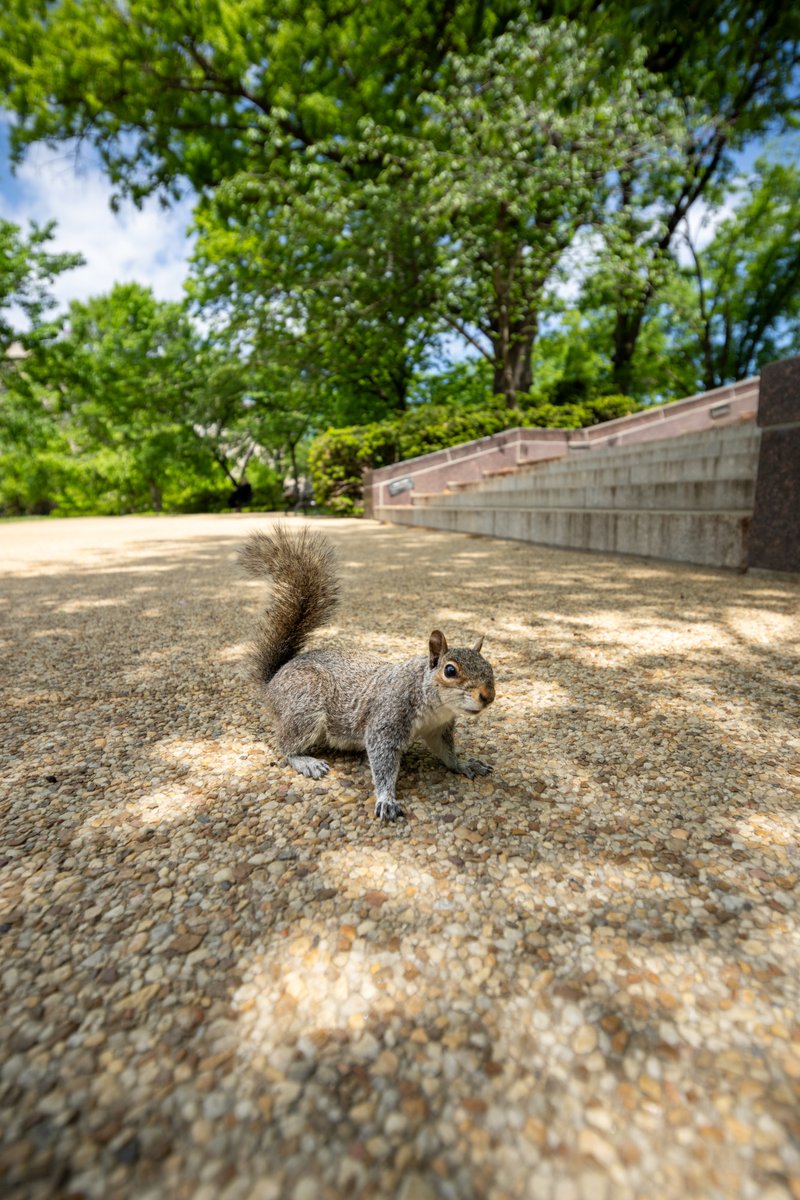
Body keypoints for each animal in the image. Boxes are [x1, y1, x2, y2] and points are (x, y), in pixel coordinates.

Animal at [239, 524, 496, 820]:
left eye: (490, 666)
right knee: (285, 744)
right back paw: (305, 761)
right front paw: (386, 798)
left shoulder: (438, 729)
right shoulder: (386, 721)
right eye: (450, 670)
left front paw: (464, 764)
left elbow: (446, 752)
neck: (432, 703)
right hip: (306, 703)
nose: (488, 696)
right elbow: (382, 760)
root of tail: (273, 681)